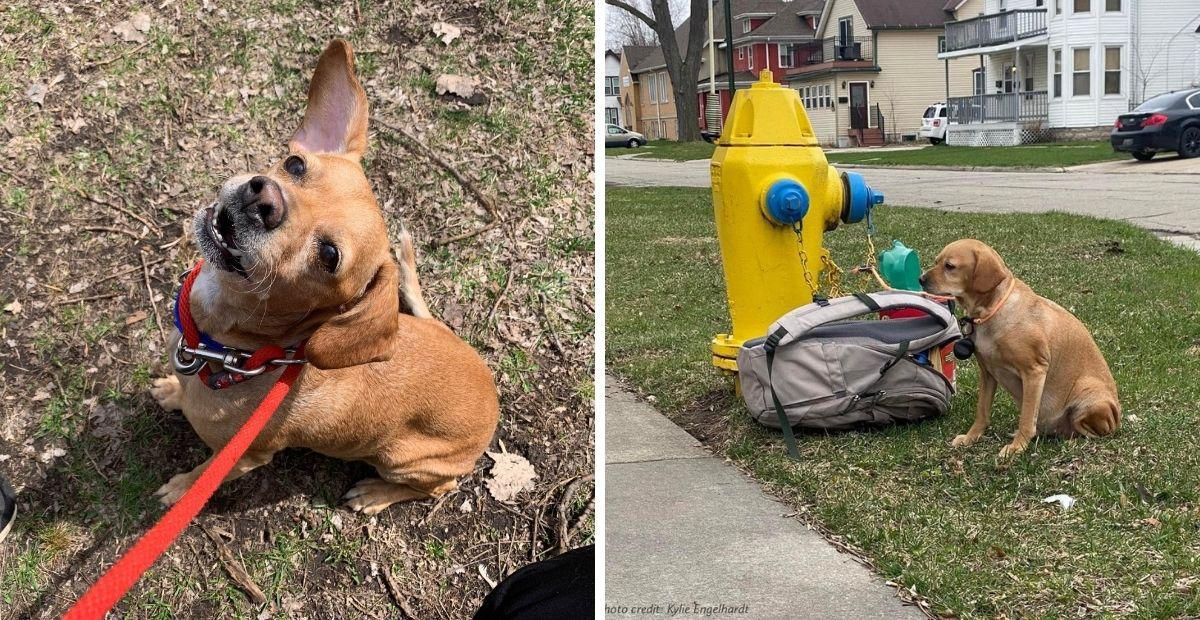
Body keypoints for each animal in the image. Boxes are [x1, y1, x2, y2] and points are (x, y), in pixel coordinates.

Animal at [147, 38, 499, 513]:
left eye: (329, 256)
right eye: (295, 164)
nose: (264, 200)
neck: (236, 353)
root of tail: (493, 400)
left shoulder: (245, 458)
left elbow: (202, 476)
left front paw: (181, 489)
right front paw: (171, 390)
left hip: (402, 459)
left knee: (437, 487)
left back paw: (375, 494)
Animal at [921, 239, 1118, 455]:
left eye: (950, 266)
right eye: (937, 261)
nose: (921, 279)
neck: (991, 311)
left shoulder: (1034, 371)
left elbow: (1026, 418)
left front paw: (1017, 447)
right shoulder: (987, 373)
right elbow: (982, 412)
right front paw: (971, 438)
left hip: (1089, 395)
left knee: (1091, 431)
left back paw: (1071, 440)